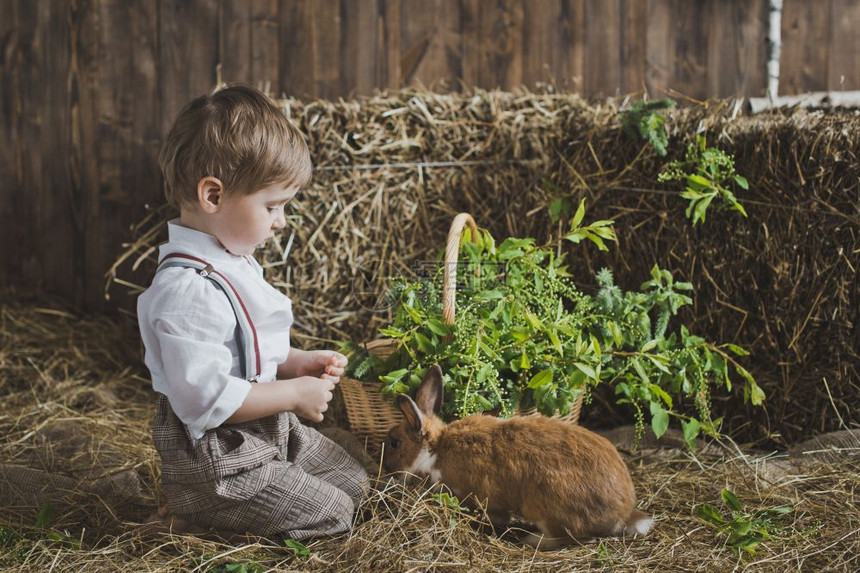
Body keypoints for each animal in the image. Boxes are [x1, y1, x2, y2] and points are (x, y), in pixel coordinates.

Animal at [382, 364, 652, 548]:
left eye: (394, 443)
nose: (385, 467)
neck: (436, 448)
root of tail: (623, 515)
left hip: (547, 506)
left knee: (568, 537)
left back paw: (531, 539)